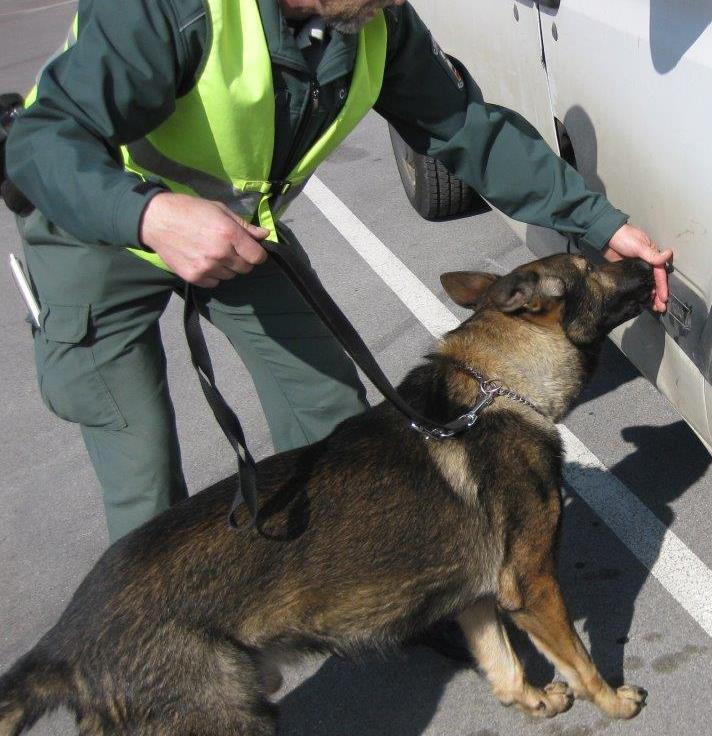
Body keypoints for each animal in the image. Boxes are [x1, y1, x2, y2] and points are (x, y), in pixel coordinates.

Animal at [1, 252, 656, 732]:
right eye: (590, 265)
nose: (646, 260)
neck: (497, 386)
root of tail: (63, 643)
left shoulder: (476, 595)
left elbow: (500, 659)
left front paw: (531, 699)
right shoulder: (532, 585)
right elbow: (579, 657)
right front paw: (612, 700)